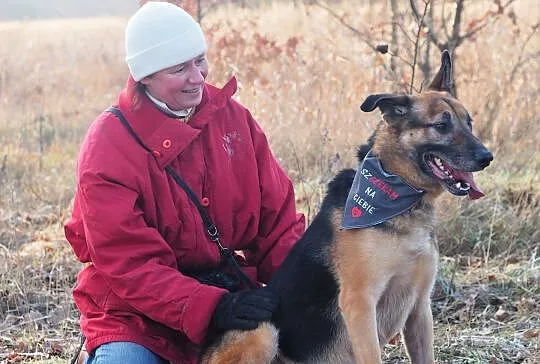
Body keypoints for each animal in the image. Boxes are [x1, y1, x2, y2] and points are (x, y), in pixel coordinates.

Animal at [200, 49, 492, 362]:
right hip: (263, 331)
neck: (399, 199)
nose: (487, 157)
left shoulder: (419, 309)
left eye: (469, 122)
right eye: (441, 125)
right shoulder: (359, 304)